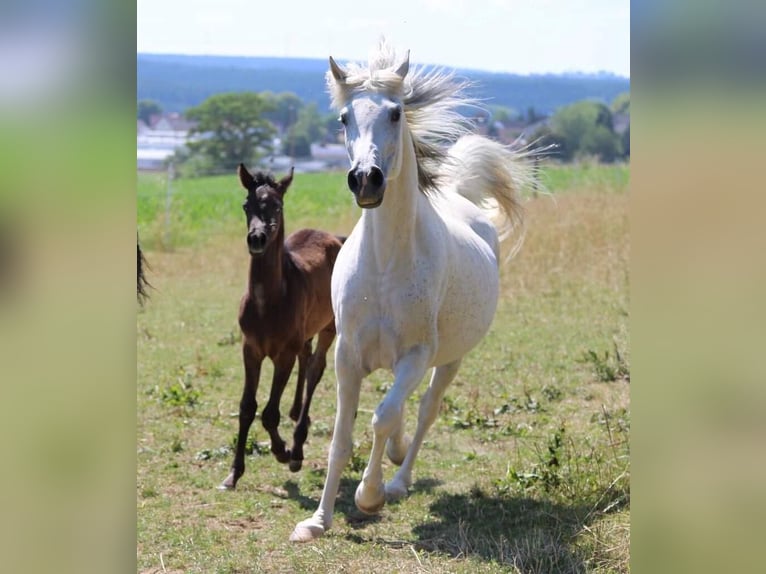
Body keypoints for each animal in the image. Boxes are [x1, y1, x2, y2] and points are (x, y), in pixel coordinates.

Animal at [220, 165, 344, 490]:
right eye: (246, 205)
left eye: (277, 206)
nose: (257, 239)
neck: (268, 301)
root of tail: (336, 238)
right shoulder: (250, 349)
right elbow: (247, 408)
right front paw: (234, 473)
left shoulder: (282, 355)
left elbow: (268, 414)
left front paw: (283, 451)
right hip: (305, 332)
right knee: (306, 357)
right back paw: (297, 412)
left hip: (329, 327)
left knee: (315, 368)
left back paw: (298, 445)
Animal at [292, 41, 536, 544]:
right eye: (343, 117)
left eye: (396, 112)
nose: (366, 179)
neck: (386, 264)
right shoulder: (347, 355)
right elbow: (342, 437)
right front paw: (317, 521)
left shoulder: (417, 355)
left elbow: (381, 417)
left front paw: (369, 497)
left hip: (449, 359)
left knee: (424, 410)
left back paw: (399, 479)